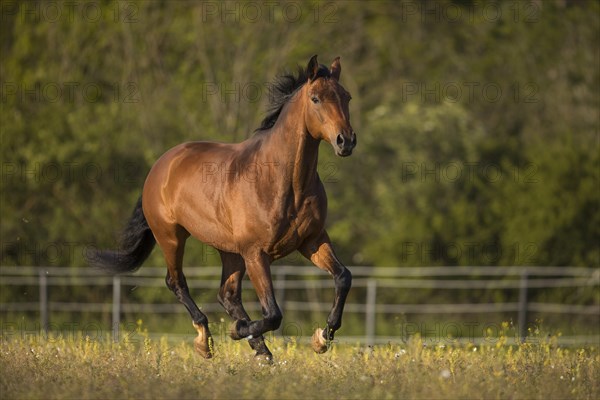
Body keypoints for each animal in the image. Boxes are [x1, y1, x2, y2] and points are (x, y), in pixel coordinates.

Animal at [89, 54, 356, 358]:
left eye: (346, 96)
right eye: (316, 99)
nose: (346, 141)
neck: (283, 181)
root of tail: (161, 165)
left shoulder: (311, 241)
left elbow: (343, 277)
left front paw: (322, 337)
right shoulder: (256, 254)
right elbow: (273, 314)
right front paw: (237, 331)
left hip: (229, 251)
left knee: (226, 294)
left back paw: (259, 348)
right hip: (171, 237)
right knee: (176, 282)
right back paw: (206, 340)